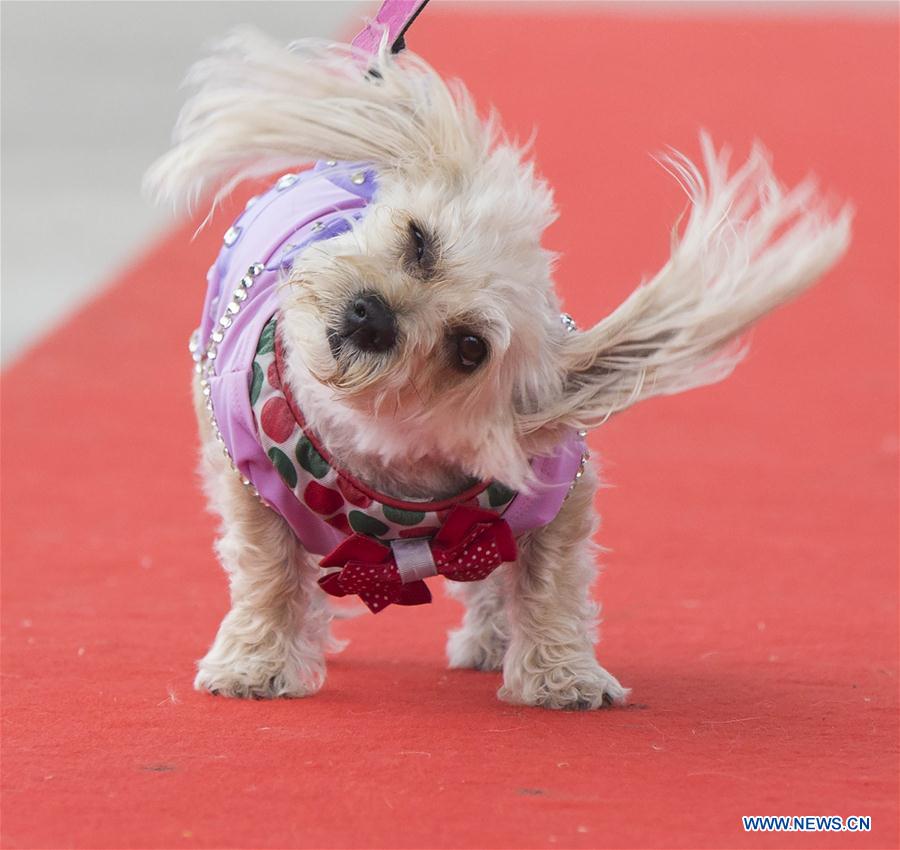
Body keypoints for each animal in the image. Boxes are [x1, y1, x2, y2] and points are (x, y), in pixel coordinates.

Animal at [148, 21, 852, 708]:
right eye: (419, 241)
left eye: (469, 348)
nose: (372, 316)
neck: (383, 469)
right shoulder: (251, 486)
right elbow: (267, 576)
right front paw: (255, 664)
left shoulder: (546, 498)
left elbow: (549, 584)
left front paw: (563, 676)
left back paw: (489, 642)